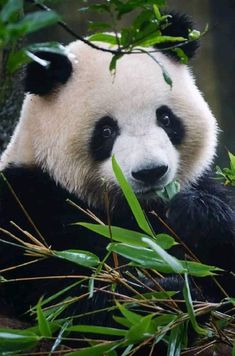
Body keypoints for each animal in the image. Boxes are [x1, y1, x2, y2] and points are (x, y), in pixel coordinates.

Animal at [0, 12, 234, 354]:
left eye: (165, 118)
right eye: (107, 130)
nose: (150, 172)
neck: (133, 206)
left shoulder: (199, 185)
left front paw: (196, 215)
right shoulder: (25, 209)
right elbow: (63, 295)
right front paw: (163, 297)